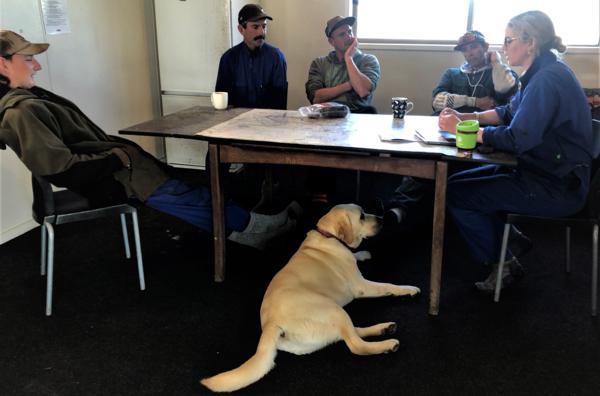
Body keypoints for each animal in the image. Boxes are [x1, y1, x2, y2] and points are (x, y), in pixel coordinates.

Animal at [199, 204, 420, 392]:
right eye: (362, 216)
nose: (382, 219)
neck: (328, 236)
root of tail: (271, 324)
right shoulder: (361, 286)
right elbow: (388, 286)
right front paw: (408, 289)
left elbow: (356, 255)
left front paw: (363, 253)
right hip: (332, 309)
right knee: (356, 345)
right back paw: (387, 344)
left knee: (350, 333)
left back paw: (384, 328)